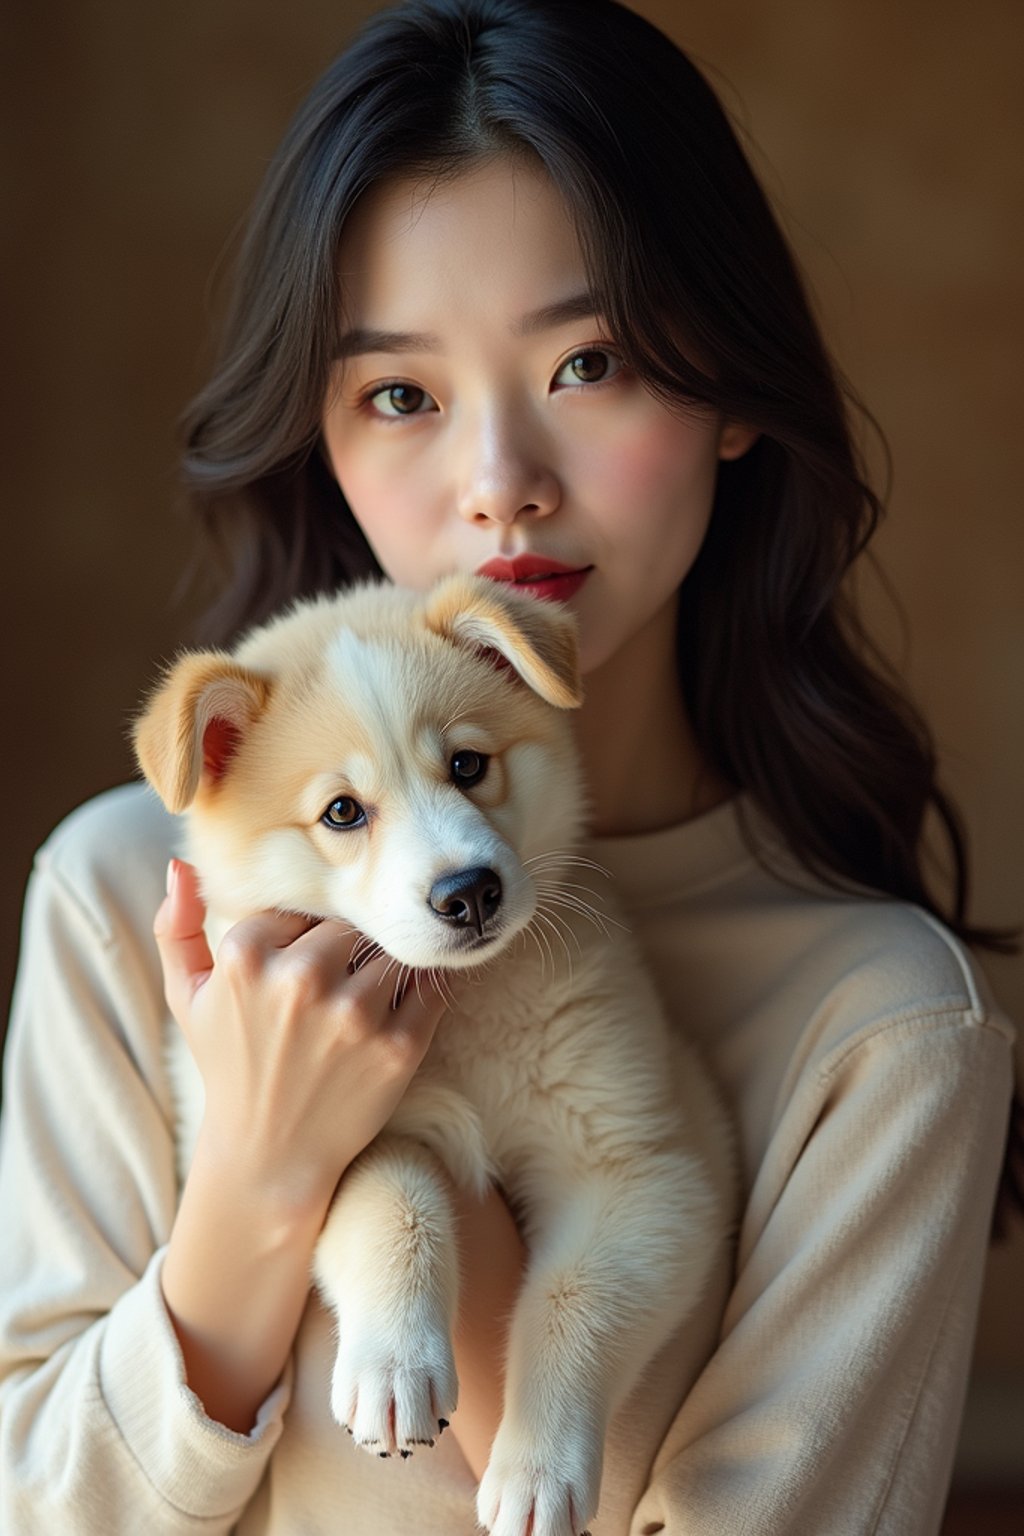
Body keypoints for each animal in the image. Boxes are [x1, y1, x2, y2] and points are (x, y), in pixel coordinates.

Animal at [132, 574, 733, 1536]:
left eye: (468, 766)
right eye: (343, 811)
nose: (468, 892)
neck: (464, 1014)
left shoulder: (639, 1167)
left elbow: (575, 1303)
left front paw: (540, 1468)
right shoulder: (318, 1135)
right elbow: (396, 1206)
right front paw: (394, 1366)